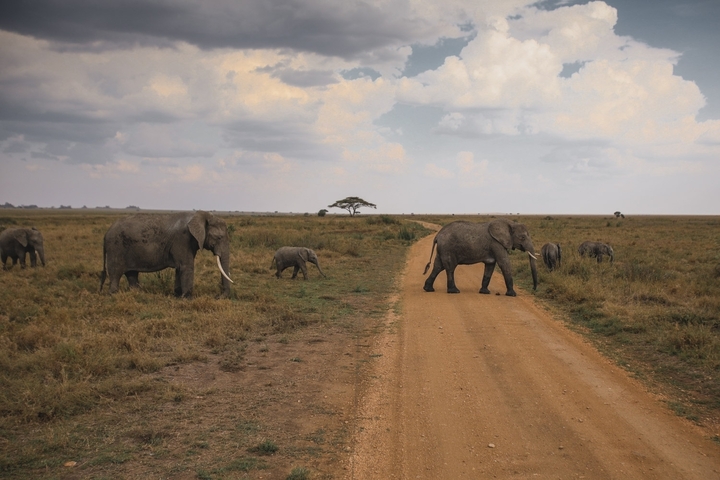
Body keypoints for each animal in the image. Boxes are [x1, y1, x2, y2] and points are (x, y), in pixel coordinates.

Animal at [100, 211, 233, 298]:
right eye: (219, 237)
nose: (217, 296)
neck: (200, 215)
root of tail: (106, 234)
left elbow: (180, 268)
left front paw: (178, 295)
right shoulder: (182, 239)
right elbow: (187, 266)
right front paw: (187, 298)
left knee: (132, 274)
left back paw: (137, 293)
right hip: (116, 247)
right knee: (116, 273)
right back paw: (113, 295)